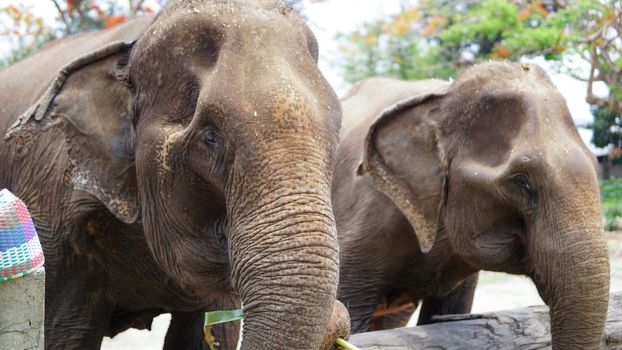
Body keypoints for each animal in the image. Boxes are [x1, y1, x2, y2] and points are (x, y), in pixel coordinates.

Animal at [0, 1, 352, 348]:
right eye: (210, 137)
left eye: (336, 136)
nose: (339, 316)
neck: (137, 42)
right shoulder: (53, 223)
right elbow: (66, 335)